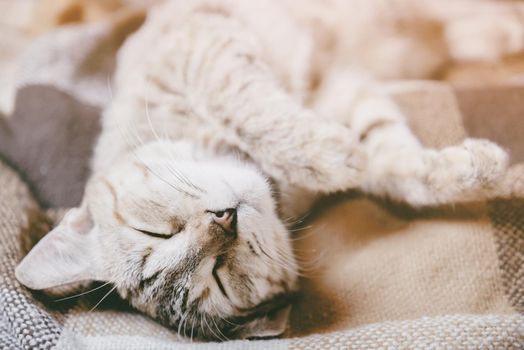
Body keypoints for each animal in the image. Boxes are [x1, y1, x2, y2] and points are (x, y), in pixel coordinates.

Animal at [15, 0, 508, 340]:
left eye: (155, 232)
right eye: (216, 280)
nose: (223, 221)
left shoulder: (203, 42)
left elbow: (245, 103)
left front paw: (324, 153)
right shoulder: (346, 91)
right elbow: (392, 163)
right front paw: (474, 171)